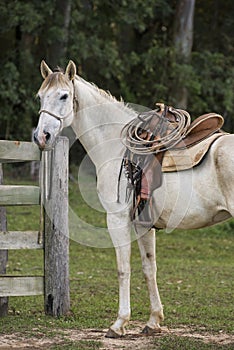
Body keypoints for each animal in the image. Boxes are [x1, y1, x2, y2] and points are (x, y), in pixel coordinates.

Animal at [33, 60, 234, 340]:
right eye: (40, 96)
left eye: (63, 96)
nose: (42, 137)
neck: (116, 146)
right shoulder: (143, 224)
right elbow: (149, 269)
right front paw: (153, 321)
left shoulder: (116, 219)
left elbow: (123, 268)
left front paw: (119, 323)